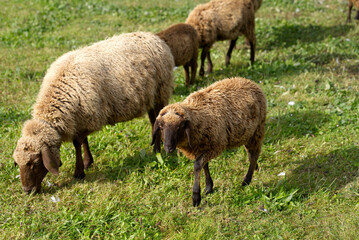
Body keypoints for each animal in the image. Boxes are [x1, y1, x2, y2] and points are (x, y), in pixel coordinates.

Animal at [13, 31, 176, 193]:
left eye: (35, 163)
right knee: (153, 120)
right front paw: (87, 162)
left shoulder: (88, 117)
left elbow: (77, 143)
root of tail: (152, 36)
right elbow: (84, 141)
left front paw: (79, 172)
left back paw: (157, 150)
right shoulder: (81, 118)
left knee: (158, 120)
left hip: (161, 91)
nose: (27, 190)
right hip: (151, 97)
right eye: (18, 163)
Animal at [152, 77, 268, 206]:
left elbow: (198, 165)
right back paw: (255, 168)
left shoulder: (215, 146)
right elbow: (204, 165)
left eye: (180, 127)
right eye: (161, 127)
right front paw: (208, 187)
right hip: (247, 133)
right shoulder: (201, 146)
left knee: (254, 154)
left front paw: (196, 197)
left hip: (257, 130)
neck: (198, 117)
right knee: (250, 153)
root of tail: (249, 81)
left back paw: (246, 181)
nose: (168, 147)